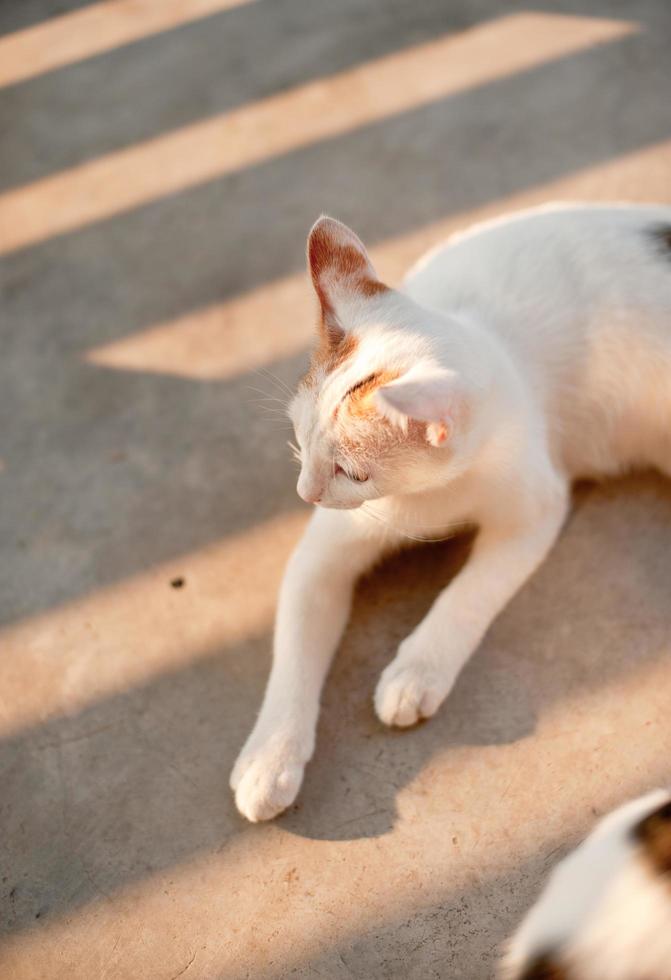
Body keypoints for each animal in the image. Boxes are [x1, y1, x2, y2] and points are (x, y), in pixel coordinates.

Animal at [230, 203, 671, 824]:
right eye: (299, 439)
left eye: (351, 472)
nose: (306, 493)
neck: (430, 498)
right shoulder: (322, 557)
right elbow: (293, 651)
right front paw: (270, 759)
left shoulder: (534, 508)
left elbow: (469, 594)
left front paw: (416, 671)